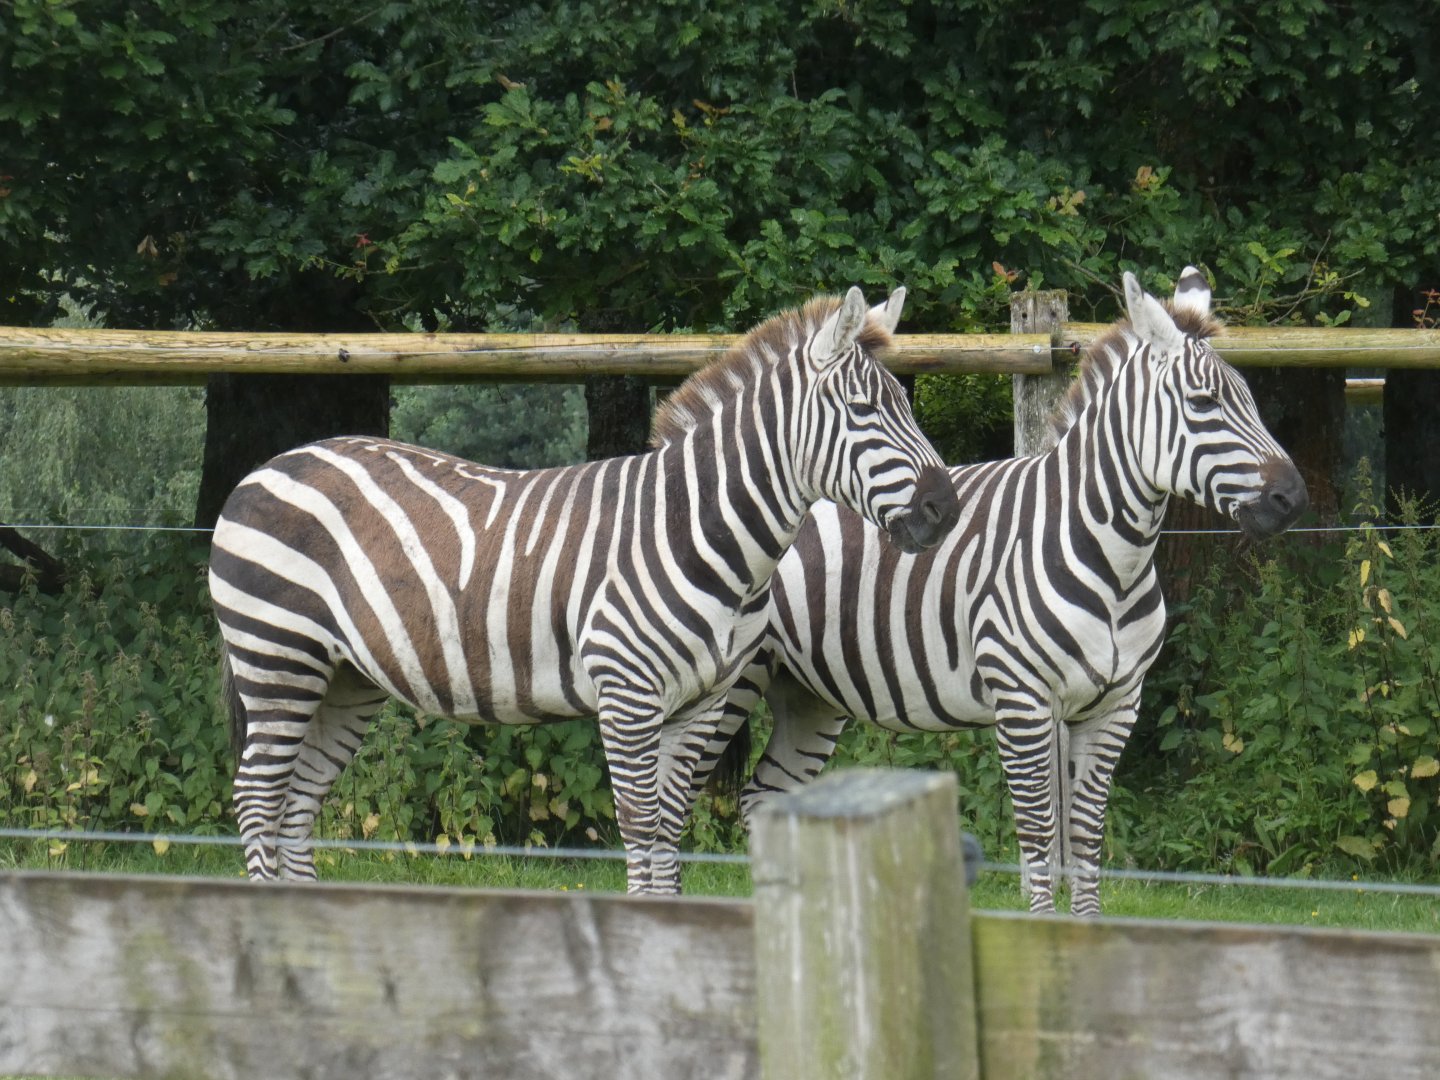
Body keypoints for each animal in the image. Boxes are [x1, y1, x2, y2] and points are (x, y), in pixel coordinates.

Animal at [209, 285, 961, 895]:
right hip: (278, 656)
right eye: (864, 410)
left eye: (907, 405)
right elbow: (641, 826)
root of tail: (272, 465)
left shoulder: (701, 702)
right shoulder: (627, 695)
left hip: (345, 677)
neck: (698, 530)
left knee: (296, 806)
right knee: (256, 799)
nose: (945, 511)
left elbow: (669, 831)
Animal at [694, 268, 1308, 915]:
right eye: (1203, 403)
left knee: (764, 798)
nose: (1294, 499)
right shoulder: (1024, 700)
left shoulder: (1117, 705)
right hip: (731, 684)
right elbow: (1039, 836)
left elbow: (1085, 838)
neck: (1113, 561)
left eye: (1249, 399)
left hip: (809, 692)